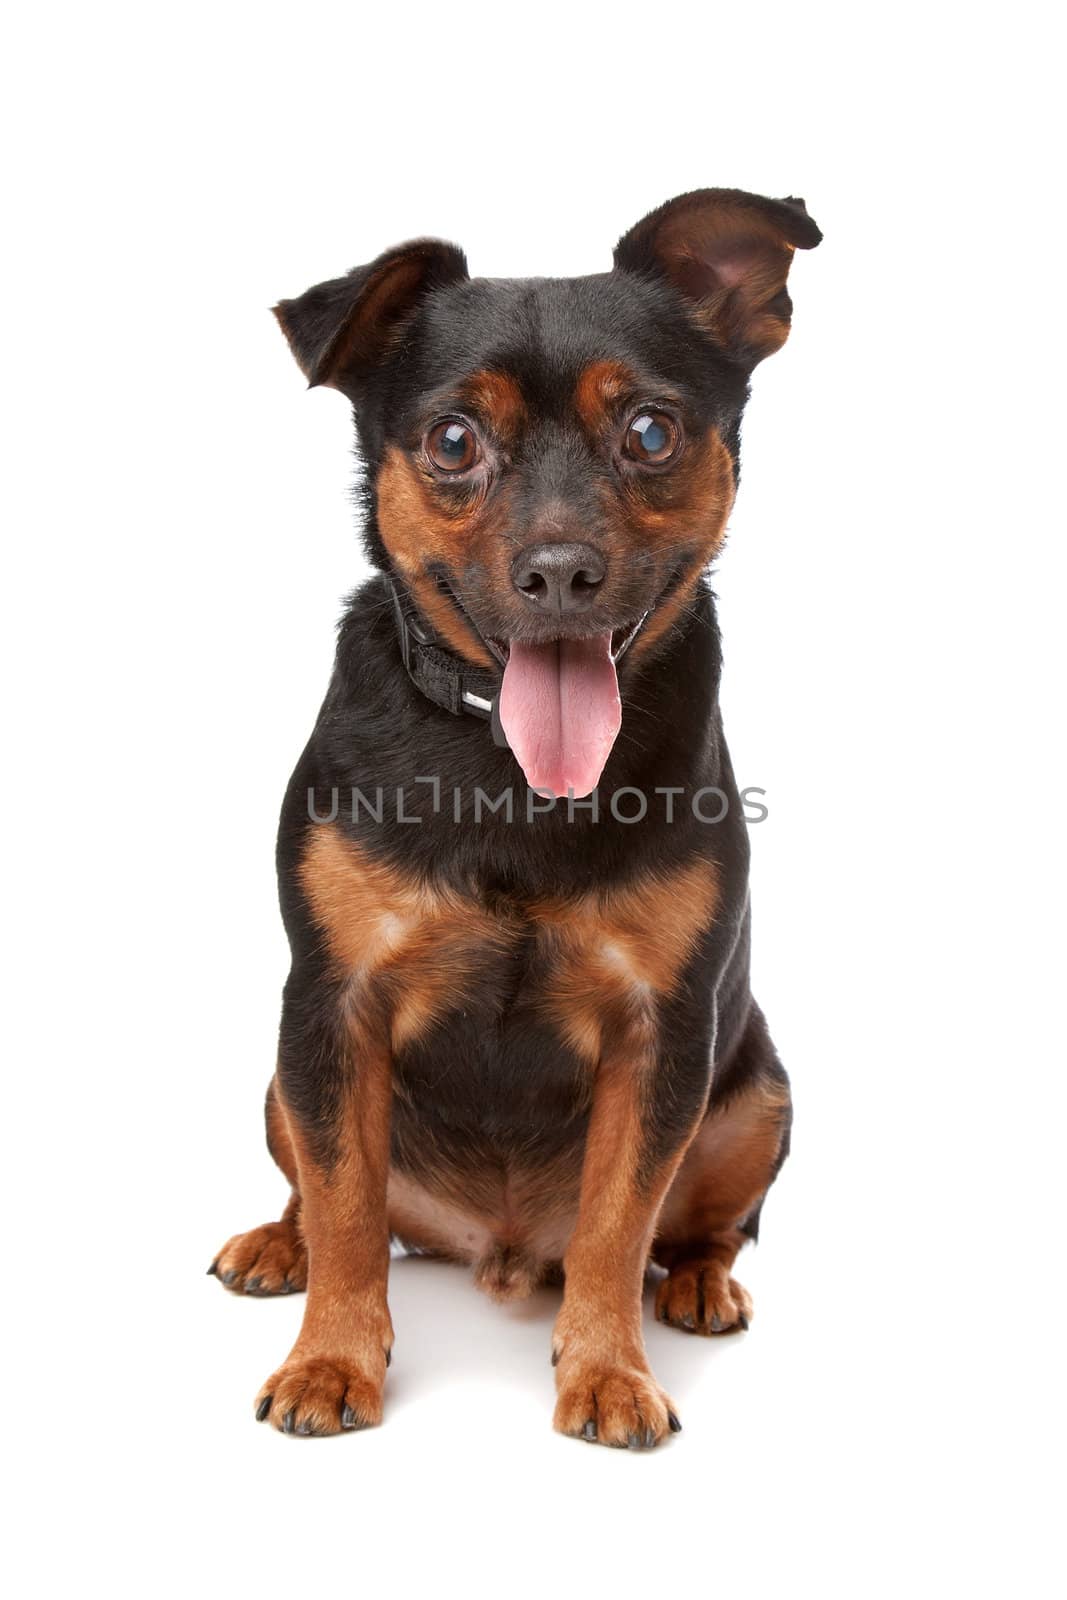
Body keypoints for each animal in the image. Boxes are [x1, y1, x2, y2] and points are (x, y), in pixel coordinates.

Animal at [211, 190, 825, 1452]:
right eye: (452, 442)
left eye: (650, 431)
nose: (558, 571)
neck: (506, 765)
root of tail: (488, 1250)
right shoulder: (331, 1010)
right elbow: (346, 1207)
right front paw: (330, 1358)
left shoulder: (659, 1036)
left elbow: (613, 1225)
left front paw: (606, 1371)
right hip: (278, 1079)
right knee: (319, 1191)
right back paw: (274, 1245)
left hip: (755, 1092)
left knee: (696, 1225)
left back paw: (698, 1283)